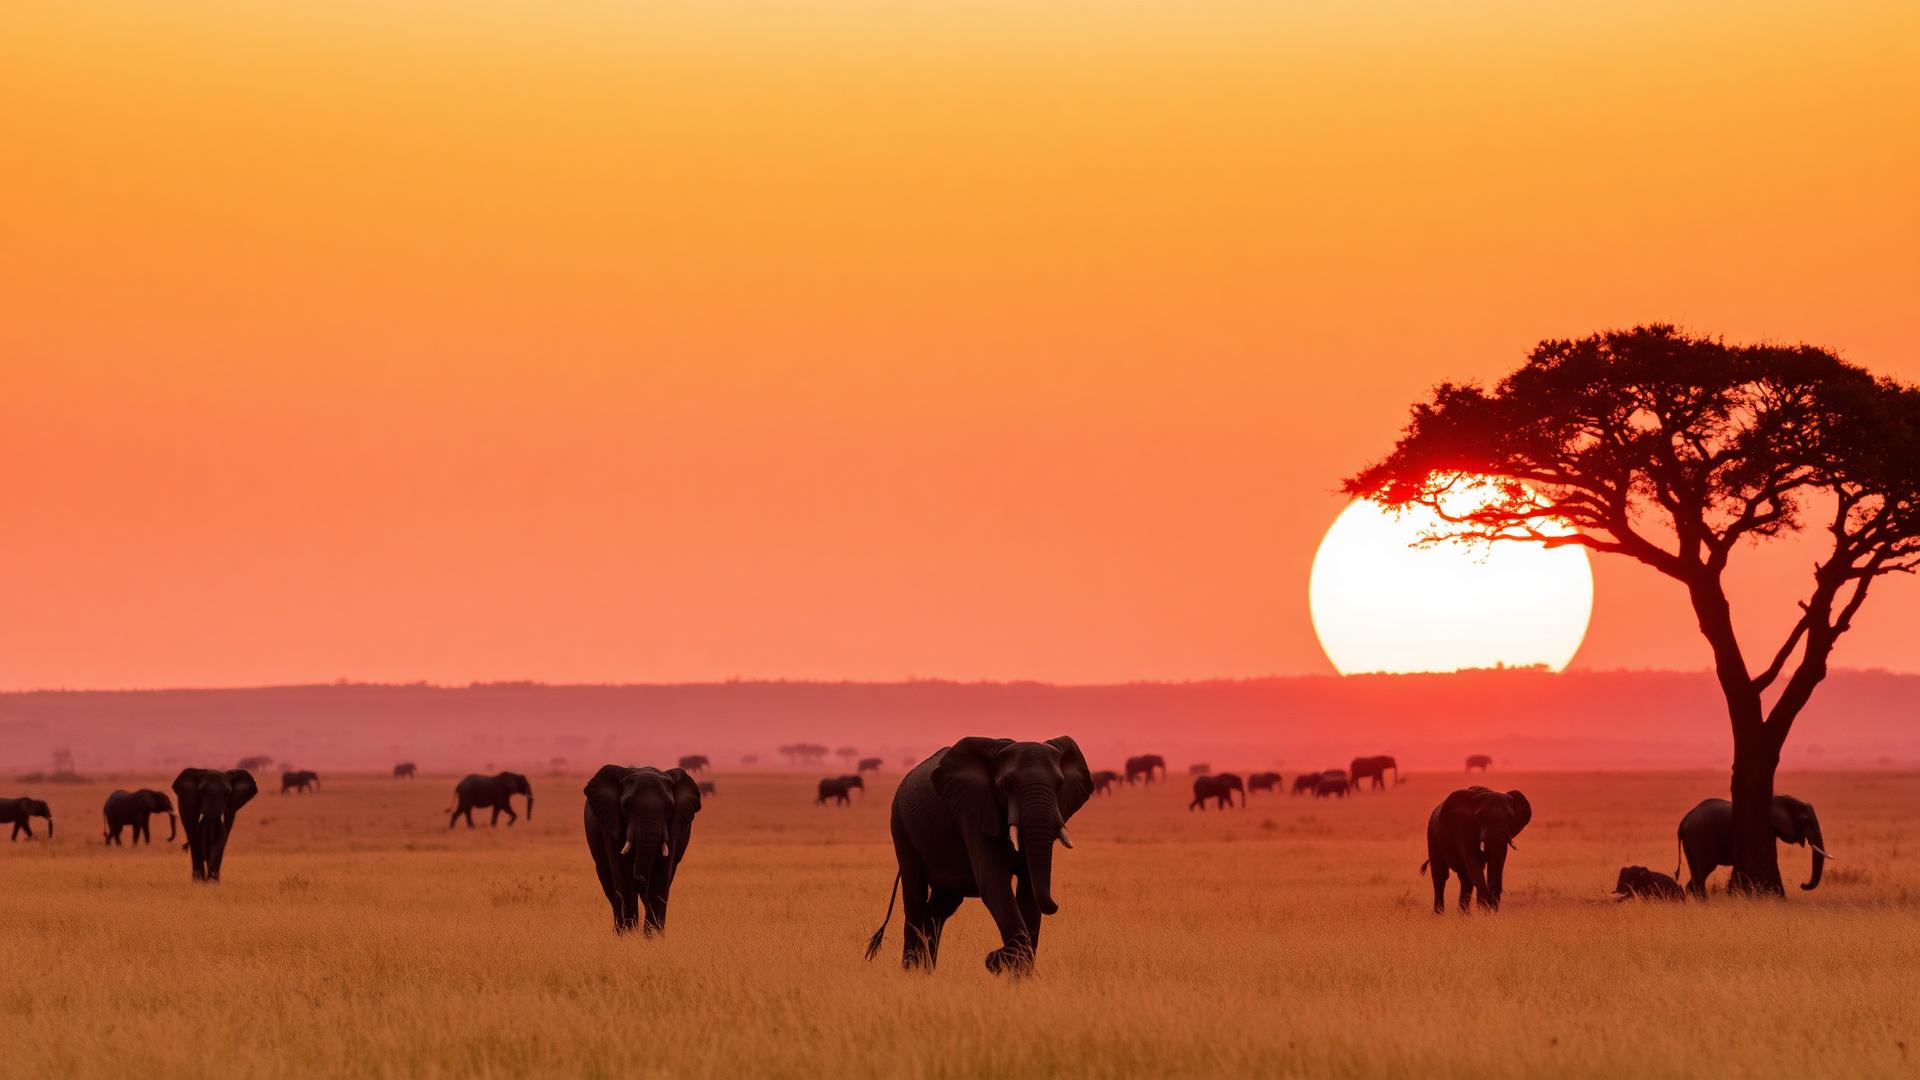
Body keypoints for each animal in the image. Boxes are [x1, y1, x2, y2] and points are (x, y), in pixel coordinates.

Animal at [582, 764, 703, 935]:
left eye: (670, 806)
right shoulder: (611, 822)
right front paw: (629, 936)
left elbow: (661, 874)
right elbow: (623, 874)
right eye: (626, 805)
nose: (640, 877)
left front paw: (653, 937)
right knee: (610, 888)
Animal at [864, 736, 1092, 977]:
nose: (992, 956)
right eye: (1006, 785)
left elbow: (1028, 888)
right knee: (914, 894)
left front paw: (1021, 977)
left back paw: (928, 972)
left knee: (940, 906)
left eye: (1060, 785)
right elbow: (993, 883)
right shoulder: (971, 812)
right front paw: (1005, 964)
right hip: (901, 826)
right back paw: (911, 973)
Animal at [1675, 795, 1827, 898]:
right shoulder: (1764, 828)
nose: (1802, 885)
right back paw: (1705, 902)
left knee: (1695, 871)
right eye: (1805, 820)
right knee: (1702, 871)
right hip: (1700, 838)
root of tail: (1684, 821)